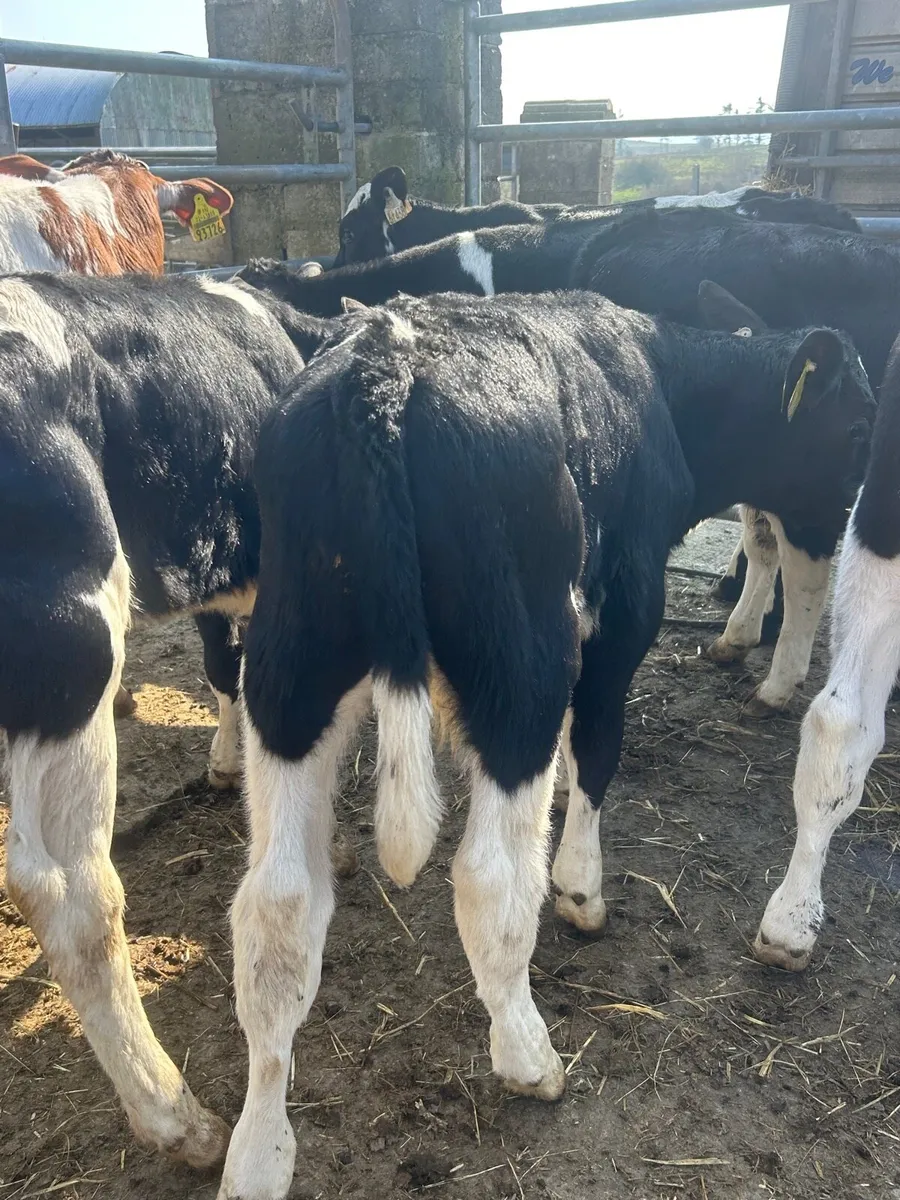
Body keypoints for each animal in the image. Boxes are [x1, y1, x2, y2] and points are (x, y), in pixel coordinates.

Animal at [216, 288, 873, 1200]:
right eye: (859, 427)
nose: (853, 517)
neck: (658, 381)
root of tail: (385, 365)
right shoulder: (621, 613)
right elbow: (595, 746)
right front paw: (580, 888)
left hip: (289, 670)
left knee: (276, 908)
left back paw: (258, 1151)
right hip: (517, 667)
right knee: (489, 875)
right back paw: (528, 1054)